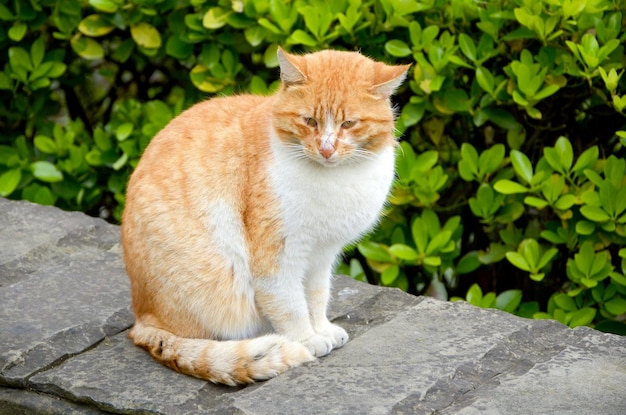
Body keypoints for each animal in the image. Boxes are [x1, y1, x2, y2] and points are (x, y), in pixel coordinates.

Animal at [120, 48, 410, 386]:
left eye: (349, 123)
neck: (335, 179)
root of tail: (141, 319)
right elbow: (290, 304)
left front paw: (321, 328)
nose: (326, 149)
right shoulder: (277, 257)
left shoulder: (321, 255)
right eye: (309, 121)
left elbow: (316, 297)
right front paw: (306, 339)